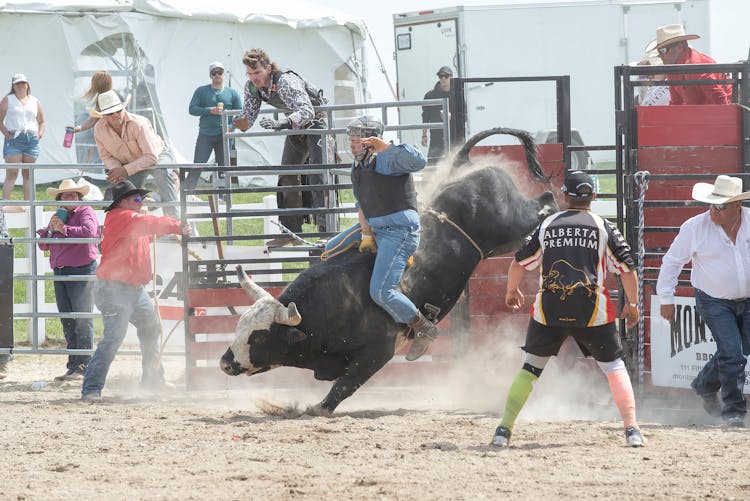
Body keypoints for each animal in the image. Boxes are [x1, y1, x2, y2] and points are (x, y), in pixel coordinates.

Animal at [219, 127, 560, 412]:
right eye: (239, 327)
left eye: (258, 339)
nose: (225, 363)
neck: (329, 306)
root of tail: (467, 168)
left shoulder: (378, 350)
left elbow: (347, 383)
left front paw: (318, 408)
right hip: (499, 243)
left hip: (512, 221)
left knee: (544, 200)